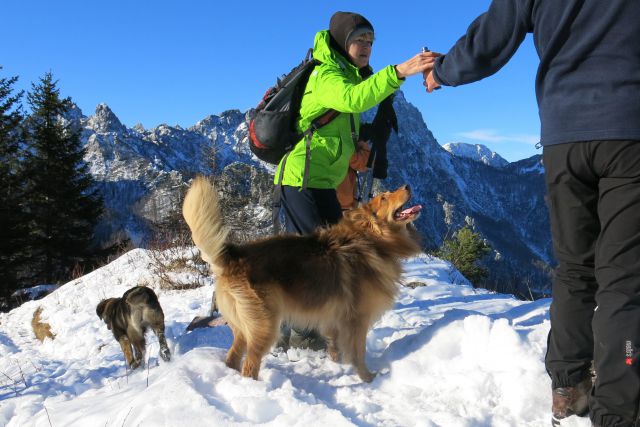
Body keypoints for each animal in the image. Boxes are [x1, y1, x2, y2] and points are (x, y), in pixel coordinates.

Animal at [181, 176, 420, 382]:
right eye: (384, 198)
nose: (408, 185)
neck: (371, 239)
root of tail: (233, 256)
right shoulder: (357, 320)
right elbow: (358, 353)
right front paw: (367, 378)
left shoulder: (335, 320)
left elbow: (336, 348)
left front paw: (338, 364)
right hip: (265, 326)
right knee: (249, 366)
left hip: (243, 327)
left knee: (232, 358)